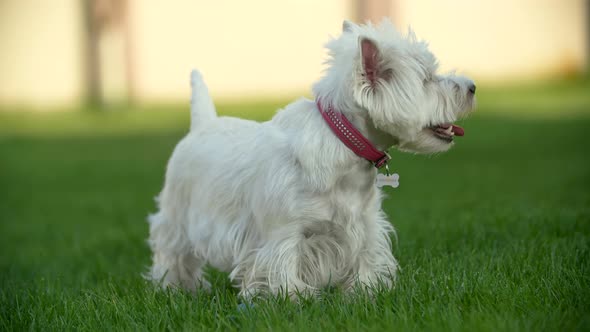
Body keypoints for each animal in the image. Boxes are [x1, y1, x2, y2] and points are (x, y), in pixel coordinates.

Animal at [148, 18, 476, 298]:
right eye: (428, 78)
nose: (473, 87)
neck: (345, 150)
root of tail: (202, 123)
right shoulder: (283, 231)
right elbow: (281, 264)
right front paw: (293, 297)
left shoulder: (365, 223)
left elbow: (366, 256)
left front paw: (365, 291)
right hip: (177, 215)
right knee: (173, 253)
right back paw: (176, 288)